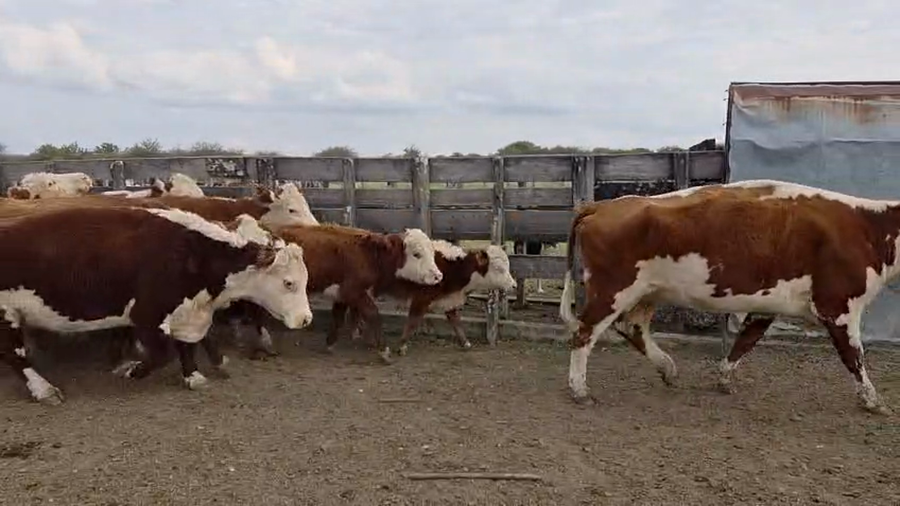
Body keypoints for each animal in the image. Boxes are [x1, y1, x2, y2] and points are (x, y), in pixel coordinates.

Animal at [0, 206, 313, 404]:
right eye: (289, 283)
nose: (306, 319)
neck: (193, 253)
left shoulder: (188, 313)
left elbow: (187, 345)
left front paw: (193, 375)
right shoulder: (147, 316)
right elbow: (163, 353)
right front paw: (132, 370)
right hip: (6, 314)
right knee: (13, 354)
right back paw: (43, 389)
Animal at [342, 240, 517, 356]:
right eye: (498, 268)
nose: (514, 285)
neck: (450, 268)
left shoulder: (448, 300)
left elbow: (456, 321)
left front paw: (466, 343)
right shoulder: (421, 299)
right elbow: (413, 322)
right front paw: (402, 346)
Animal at [559, 179, 899, 415]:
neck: (869, 228)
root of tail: (601, 206)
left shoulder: (766, 305)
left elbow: (745, 341)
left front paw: (723, 378)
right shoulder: (838, 306)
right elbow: (853, 357)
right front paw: (873, 401)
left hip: (646, 292)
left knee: (631, 328)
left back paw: (667, 368)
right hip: (612, 290)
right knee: (584, 333)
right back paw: (579, 390)